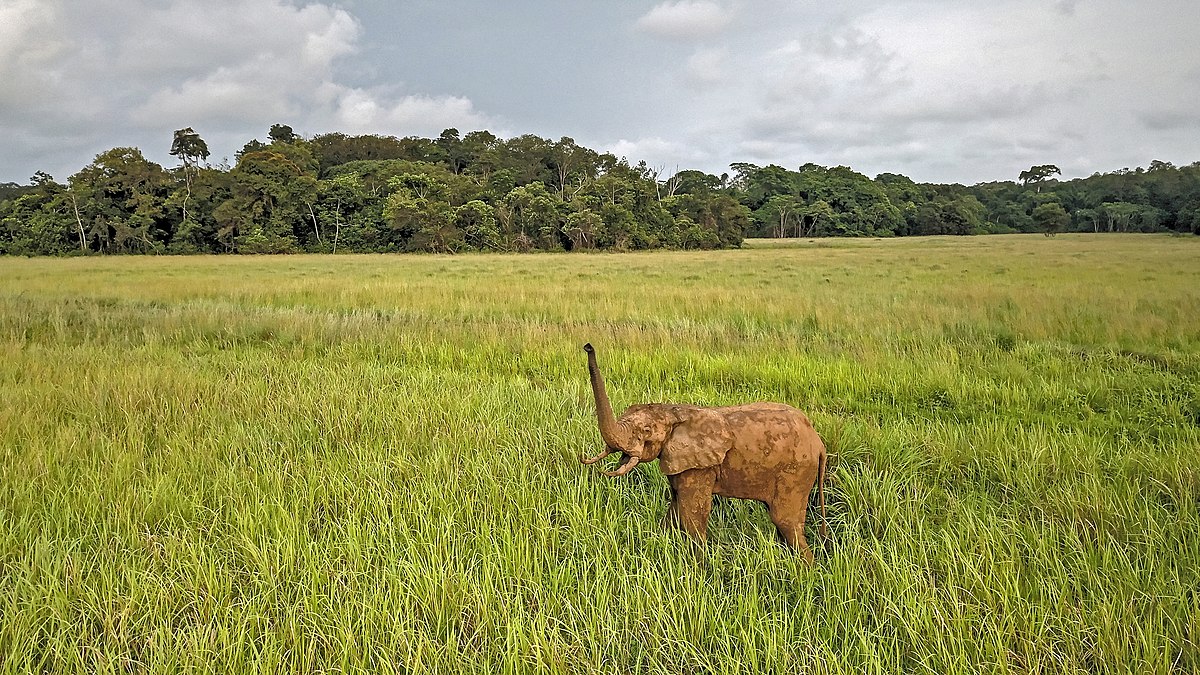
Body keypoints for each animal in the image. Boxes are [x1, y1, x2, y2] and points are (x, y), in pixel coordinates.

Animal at [578, 341, 825, 557]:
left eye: (646, 430)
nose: (588, 347)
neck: (673, 411)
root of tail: (819, 443)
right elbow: (675, 510)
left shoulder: (699, 467)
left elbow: (692, 516)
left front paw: (698, 568)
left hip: (796, 472)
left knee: (785, 521)